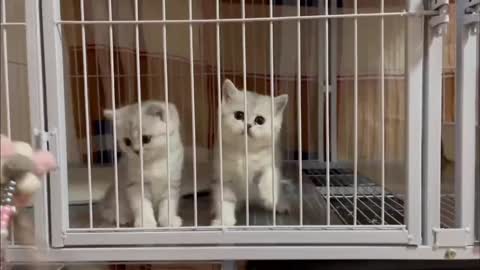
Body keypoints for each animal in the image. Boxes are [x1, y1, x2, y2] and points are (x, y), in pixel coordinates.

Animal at [213, 79, 288, 226]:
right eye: (239, 115)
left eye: (260, 120)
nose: (248, 125)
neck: (245, 152)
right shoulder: (224, 178)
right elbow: (225, 201)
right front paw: (225, 221)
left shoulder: (272, 159)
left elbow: (269, 173)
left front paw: (270, 196)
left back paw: (280, 205)